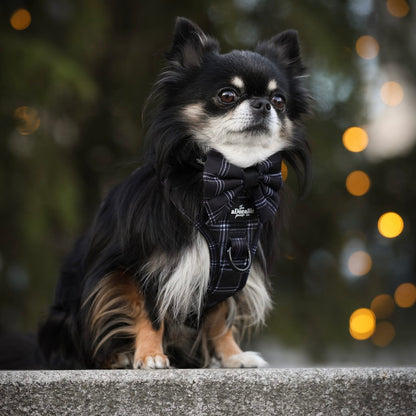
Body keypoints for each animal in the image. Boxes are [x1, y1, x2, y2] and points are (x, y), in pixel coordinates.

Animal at [35, 16, 308, 368]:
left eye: (279, 101)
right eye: (227, 95)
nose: (263, 104)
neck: (229, 176)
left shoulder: (229, 267)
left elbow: (219, 319)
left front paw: (232, 356)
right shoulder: (141, 267)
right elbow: (149, 313)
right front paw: (151, 355)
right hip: (66, 317)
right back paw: (118, 357)